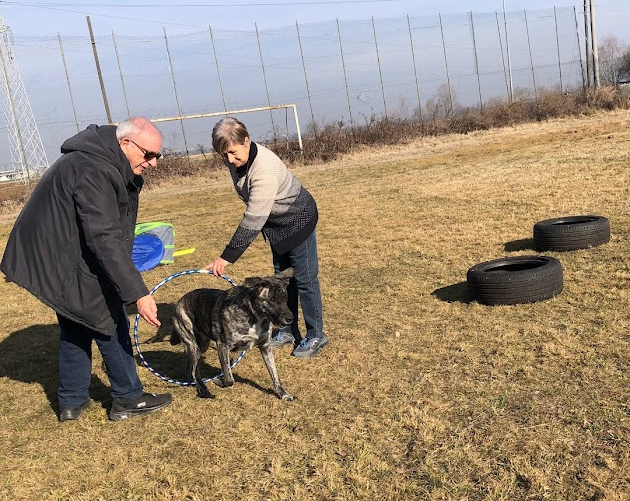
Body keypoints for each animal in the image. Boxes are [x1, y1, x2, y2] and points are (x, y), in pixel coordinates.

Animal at [169, 268, 296, 400]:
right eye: (272, 299)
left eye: (285, 298)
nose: (290, 318)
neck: (253, 315)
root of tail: (180, 301)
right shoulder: (223, 346)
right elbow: (230, 379)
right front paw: (220, 381)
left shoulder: (266, 347)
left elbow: (275, 375)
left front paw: (283, 394)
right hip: (193, 342)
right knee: (194, 369)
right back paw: (203, 389)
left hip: (202, 345)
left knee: (190, 367)